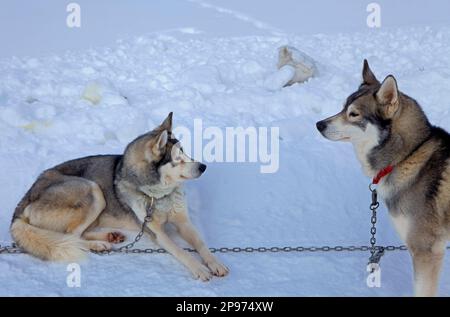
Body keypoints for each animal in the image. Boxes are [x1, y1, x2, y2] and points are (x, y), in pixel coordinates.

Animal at [10, 112, 229, 280]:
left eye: (185, 152)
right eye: (177, 159)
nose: (203, 166)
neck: (158, 196)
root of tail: (23, 202)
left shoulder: (183, 222)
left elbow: (201, 244)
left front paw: (215, 263)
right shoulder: (156, 233)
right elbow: (180, 250)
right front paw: (199, 268)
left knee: (78, 234)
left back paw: (108, 237)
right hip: (92, 189)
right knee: (71, 236)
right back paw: (98, 244)